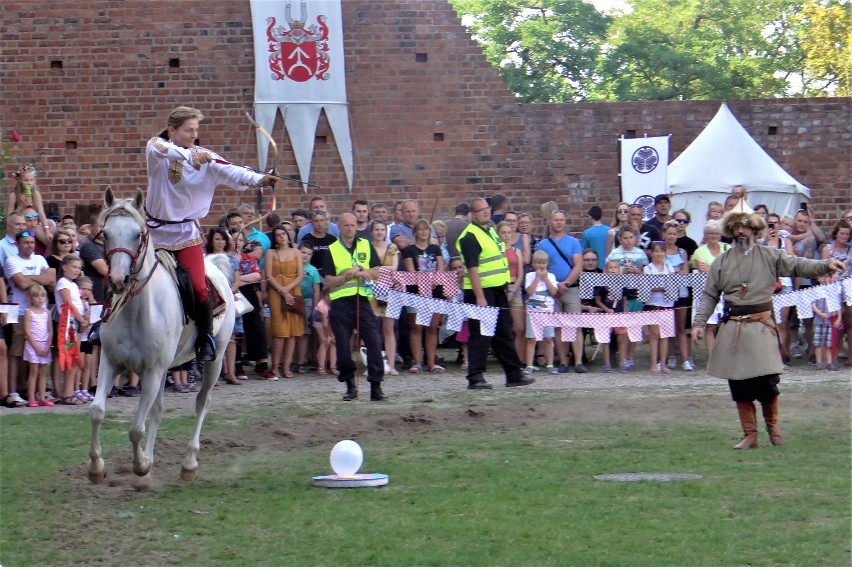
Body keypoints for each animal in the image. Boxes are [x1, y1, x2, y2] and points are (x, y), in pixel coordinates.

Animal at [88, 190, 235, 484]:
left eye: (137, 234)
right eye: (106, 234)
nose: (118, 280)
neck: (137, 310)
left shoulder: (153, 371)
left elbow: (136, 429)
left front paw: (140, 465)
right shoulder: (110, 363)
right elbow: (98, 412)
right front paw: (97, 468)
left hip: (215, 359)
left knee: (202, 402)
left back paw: (189, 462)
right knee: (157, 410)